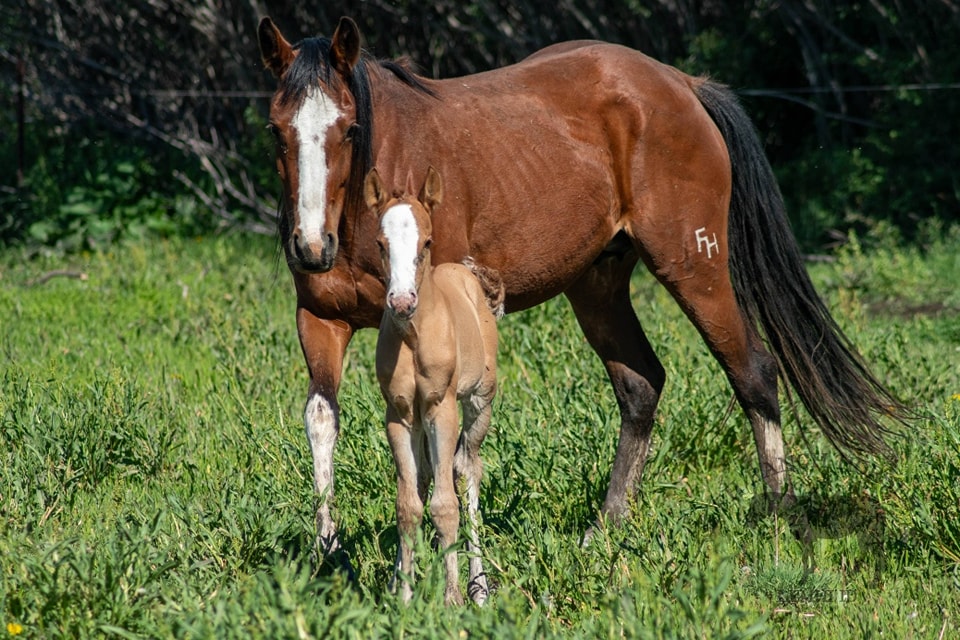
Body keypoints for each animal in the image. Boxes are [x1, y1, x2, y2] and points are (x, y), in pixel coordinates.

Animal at [365, 165, 501, 605]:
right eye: (380, 243)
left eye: (426, 241)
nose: (402, 302)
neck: (413, 337)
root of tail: (466, 272)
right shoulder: (400, 414)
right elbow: (408, 504)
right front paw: (404, 597)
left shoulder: (442, 408)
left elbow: (445, 506)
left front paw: (452, 598)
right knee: (425, 478)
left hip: (478, 406)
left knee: (466, 471)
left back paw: (479, 588)